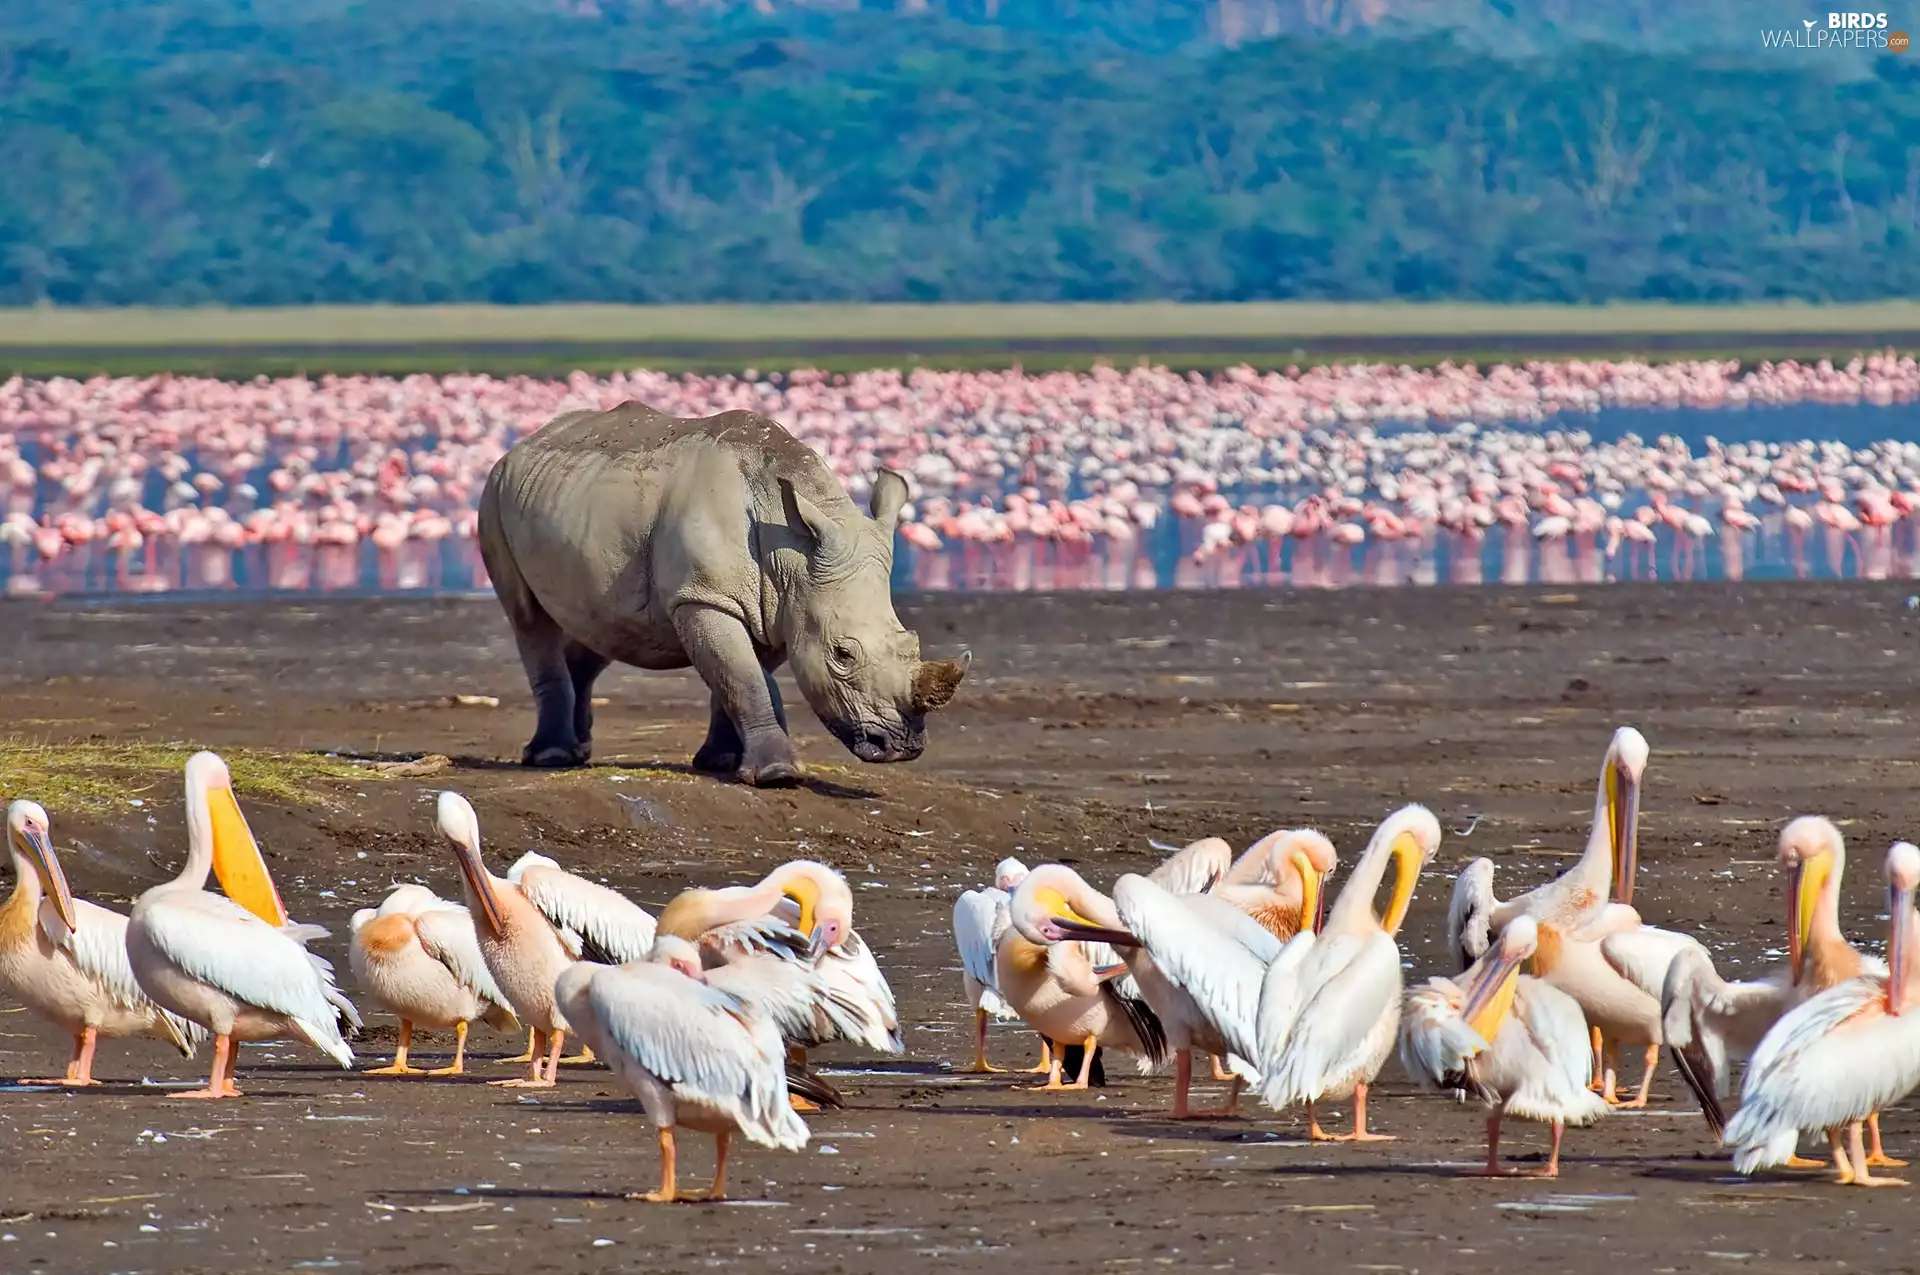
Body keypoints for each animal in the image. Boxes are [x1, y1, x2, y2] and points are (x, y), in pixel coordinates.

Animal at [476, 402, 969, 785]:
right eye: (842, 655)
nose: (902, 746)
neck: (791, 551)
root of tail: (525, 442)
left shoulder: (781, 604)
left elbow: (741, 676)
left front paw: (722, 762)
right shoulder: (705, 597)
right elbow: (744, 676)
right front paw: (776, 776)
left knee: (601, 626)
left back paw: (577, 752)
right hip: (493, 493)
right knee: (530, 620)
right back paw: (551, 757)